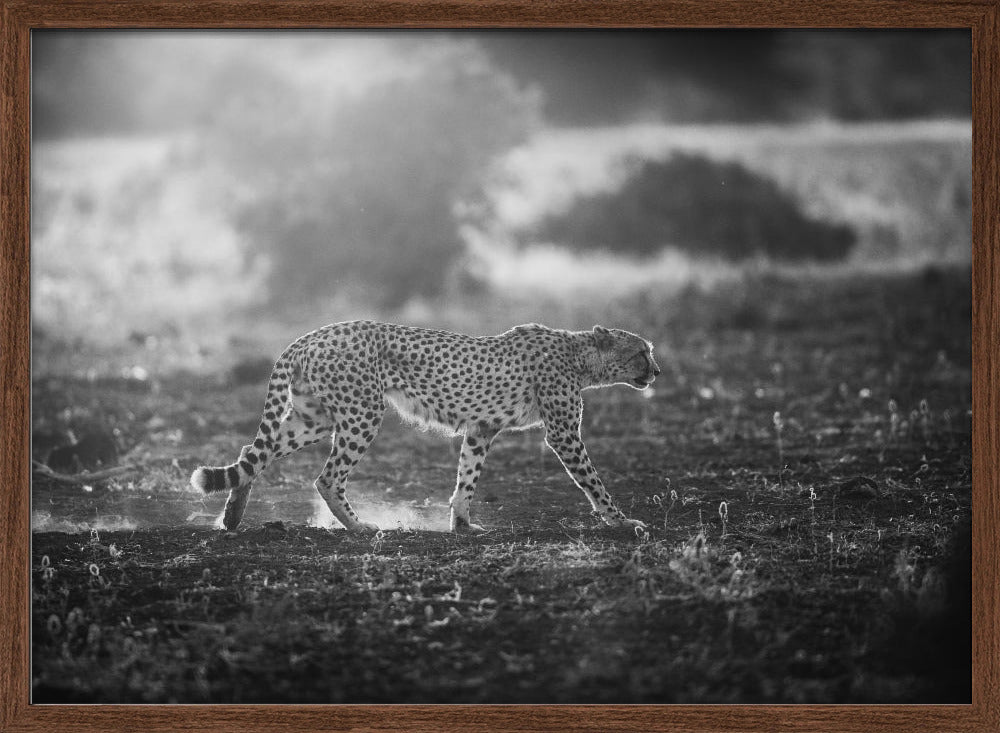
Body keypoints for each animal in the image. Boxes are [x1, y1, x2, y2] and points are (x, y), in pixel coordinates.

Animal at [190, 320, 660, 533]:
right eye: (641, 352)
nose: (656, 372)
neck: (581, 356)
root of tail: (311, 335)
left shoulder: (481, 429)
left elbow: (467, 478)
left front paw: (462, 524)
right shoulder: (562, 433)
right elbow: (593, 480)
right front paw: (621, 520)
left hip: (314, 418)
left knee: (253, 454)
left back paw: (232, 517)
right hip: (362, 413)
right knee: (326, 477)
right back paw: (359, 526)